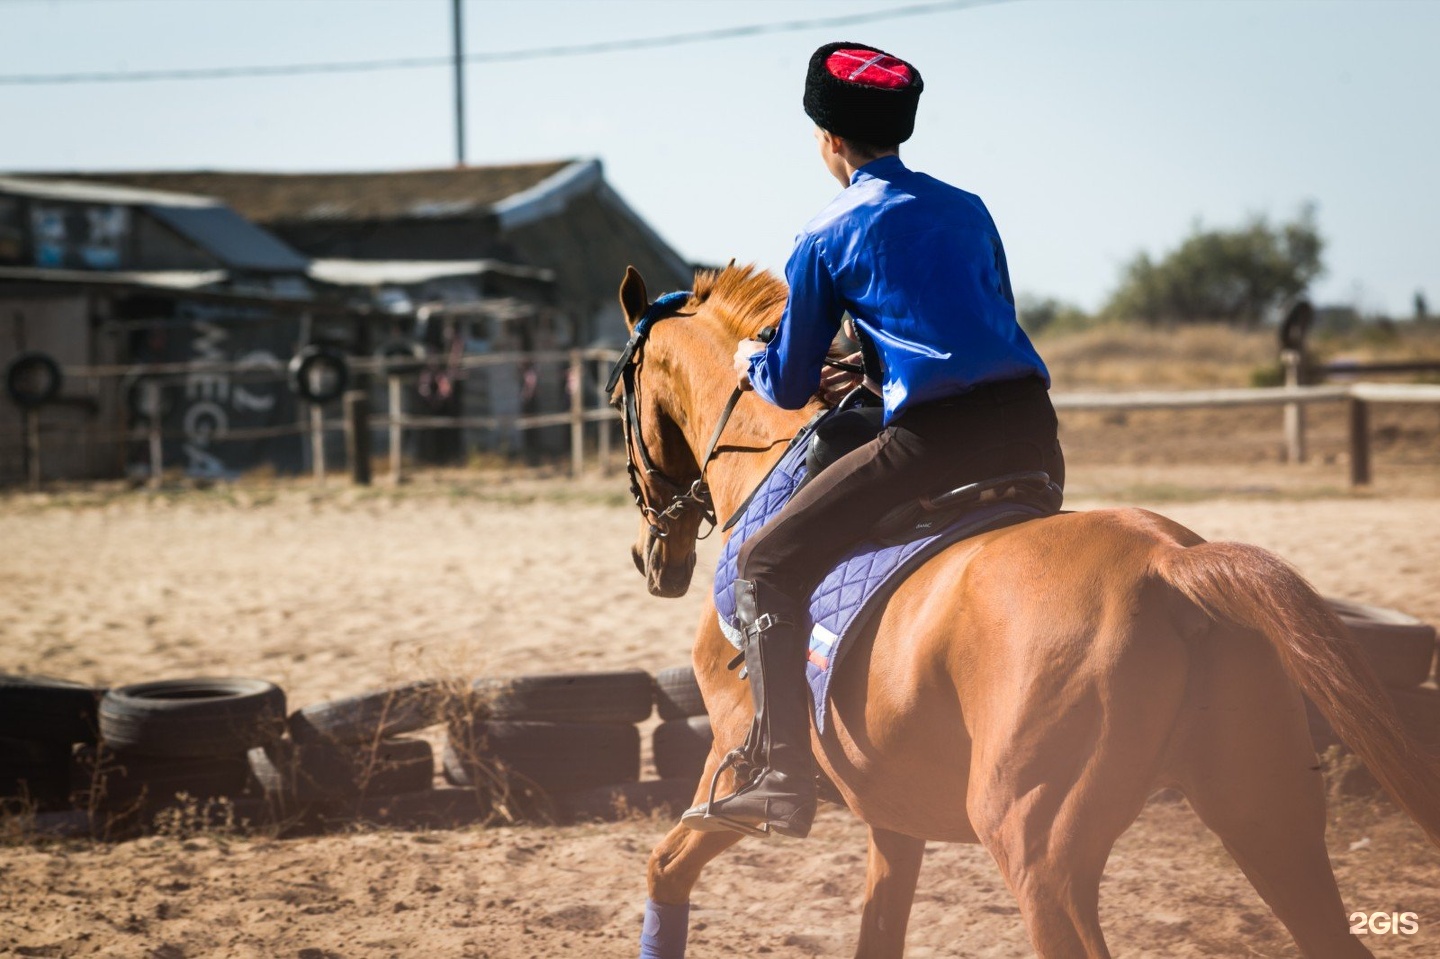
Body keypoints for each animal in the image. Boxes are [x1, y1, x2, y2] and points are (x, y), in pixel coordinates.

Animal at [610, 263, 1440, 956]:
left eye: (618, 398)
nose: (653, 560)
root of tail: (1170, 560)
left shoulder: (727, 761)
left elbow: (663, 868)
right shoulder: (892, 819)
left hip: (1036, 847)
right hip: (1265, 814)